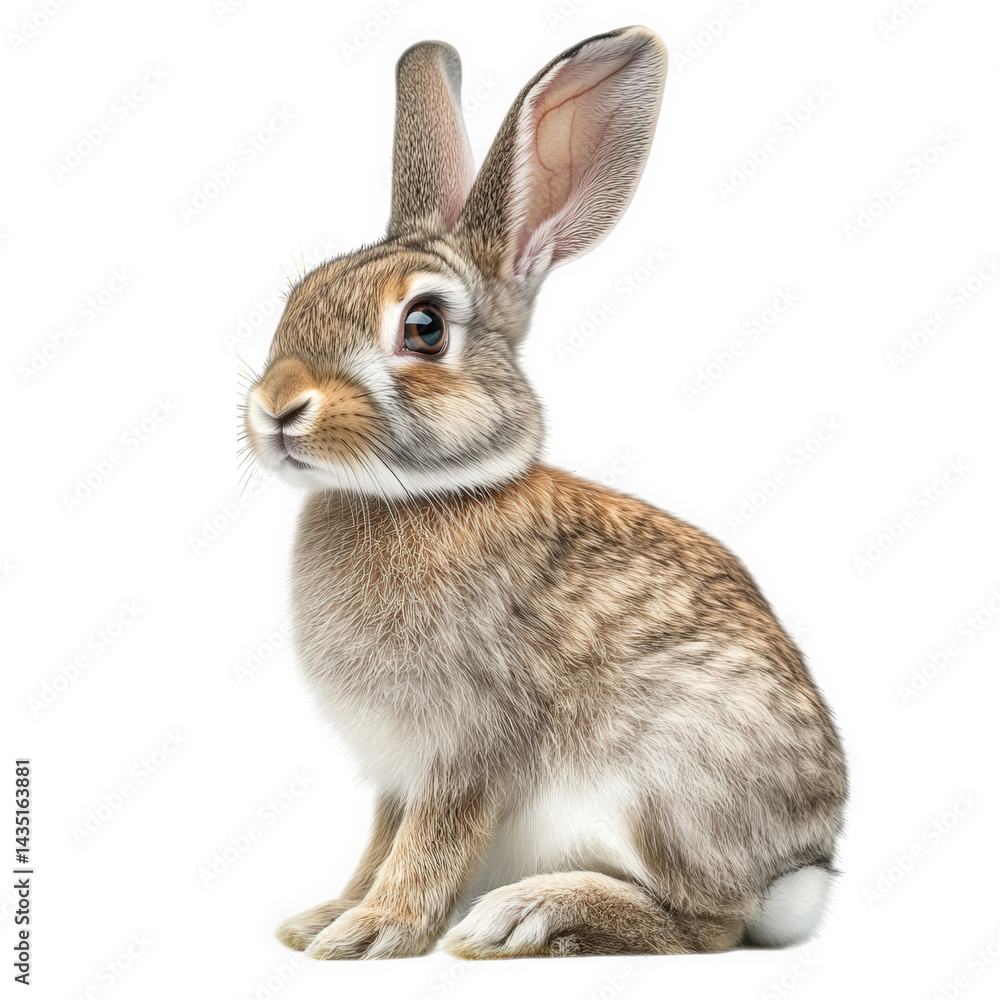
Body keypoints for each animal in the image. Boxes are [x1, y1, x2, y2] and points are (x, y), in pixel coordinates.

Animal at [243, 25, 847, 960]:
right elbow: (382, 841)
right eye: (298, 297)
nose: (276, 408)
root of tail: (800, 868)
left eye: (424, 327)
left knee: (703, 928)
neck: (423, 496)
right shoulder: (395, 772)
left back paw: (527, 916)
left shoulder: (466, 748)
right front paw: (323, 918)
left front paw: (372, 936)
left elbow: (427, 845)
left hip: (660, 782)